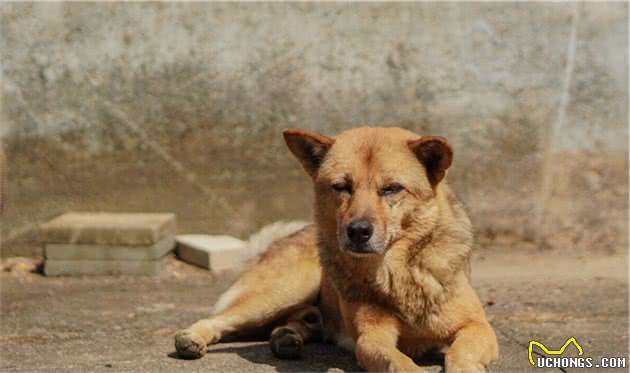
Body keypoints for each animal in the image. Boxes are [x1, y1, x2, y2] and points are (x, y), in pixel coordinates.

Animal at [175, 126, 502, 370]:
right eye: (341, 187)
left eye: (392, 189)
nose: (357, 231)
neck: (398, 271)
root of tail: (286, 236)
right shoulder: (371, 337)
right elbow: (395, 359)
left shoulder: (476, 326)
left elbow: (459, 353)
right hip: (282, 292)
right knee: (223, 318)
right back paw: (193, 336)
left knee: (294, 322)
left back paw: (289, 336)